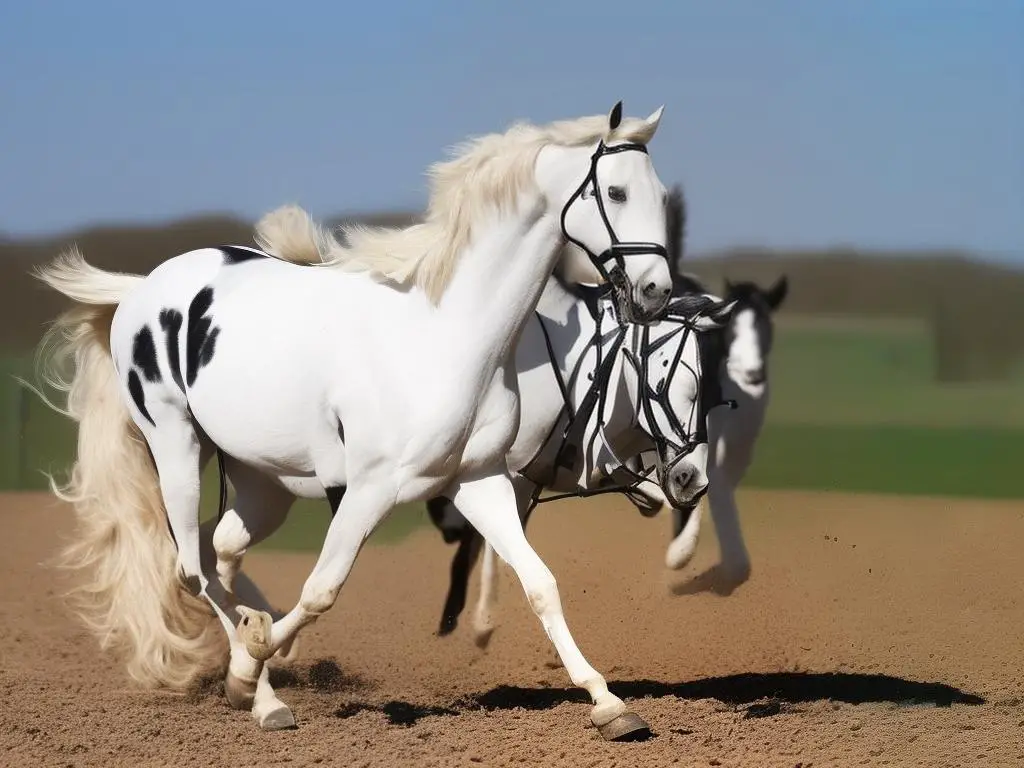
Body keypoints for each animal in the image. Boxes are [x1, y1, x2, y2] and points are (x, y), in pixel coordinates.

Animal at [36, 102, 679, 741]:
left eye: (659, 192)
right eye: (616, 192)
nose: (655, 292)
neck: (445, 333)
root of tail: (142, 288)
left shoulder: (479, 479)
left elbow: (541, 584)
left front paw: (610, 706)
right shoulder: (371, 487)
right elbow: (321, 590)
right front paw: (254, 660)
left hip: (262, 483)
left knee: (220, 551)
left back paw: (251, 651)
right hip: (176, 447)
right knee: (192, 569)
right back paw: (260, 692)